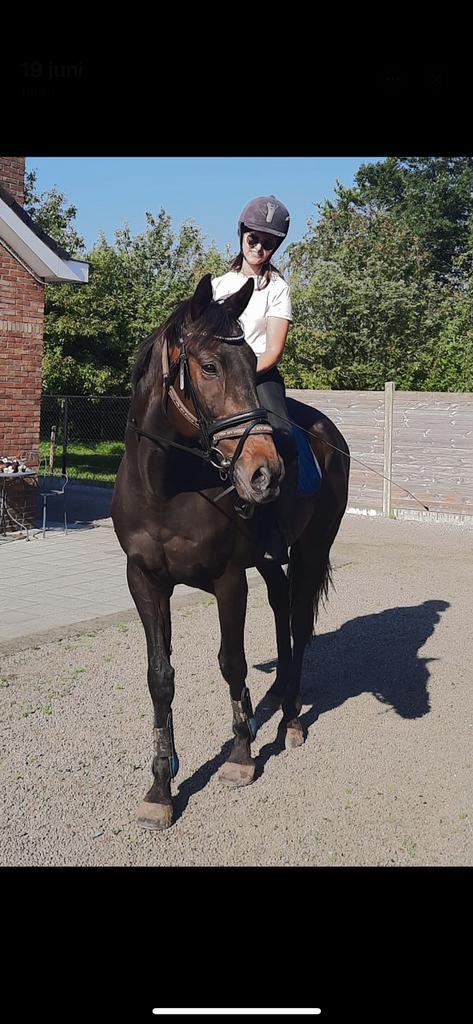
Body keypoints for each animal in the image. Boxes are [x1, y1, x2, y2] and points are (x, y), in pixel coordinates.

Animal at [112, 274, 350, 831]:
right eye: (209, 366)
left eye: (249, 363)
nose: (265, 473)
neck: (166, 488)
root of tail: (331, 435)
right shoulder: (145, 581)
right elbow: (160, 677)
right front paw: (161, 787)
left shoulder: (227, 580)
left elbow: (232, 663)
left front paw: (241, 756)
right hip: (269, 561)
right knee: (283, 608)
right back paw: (280, 694)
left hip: (310, 550)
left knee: (299, 621)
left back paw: (290, 720)